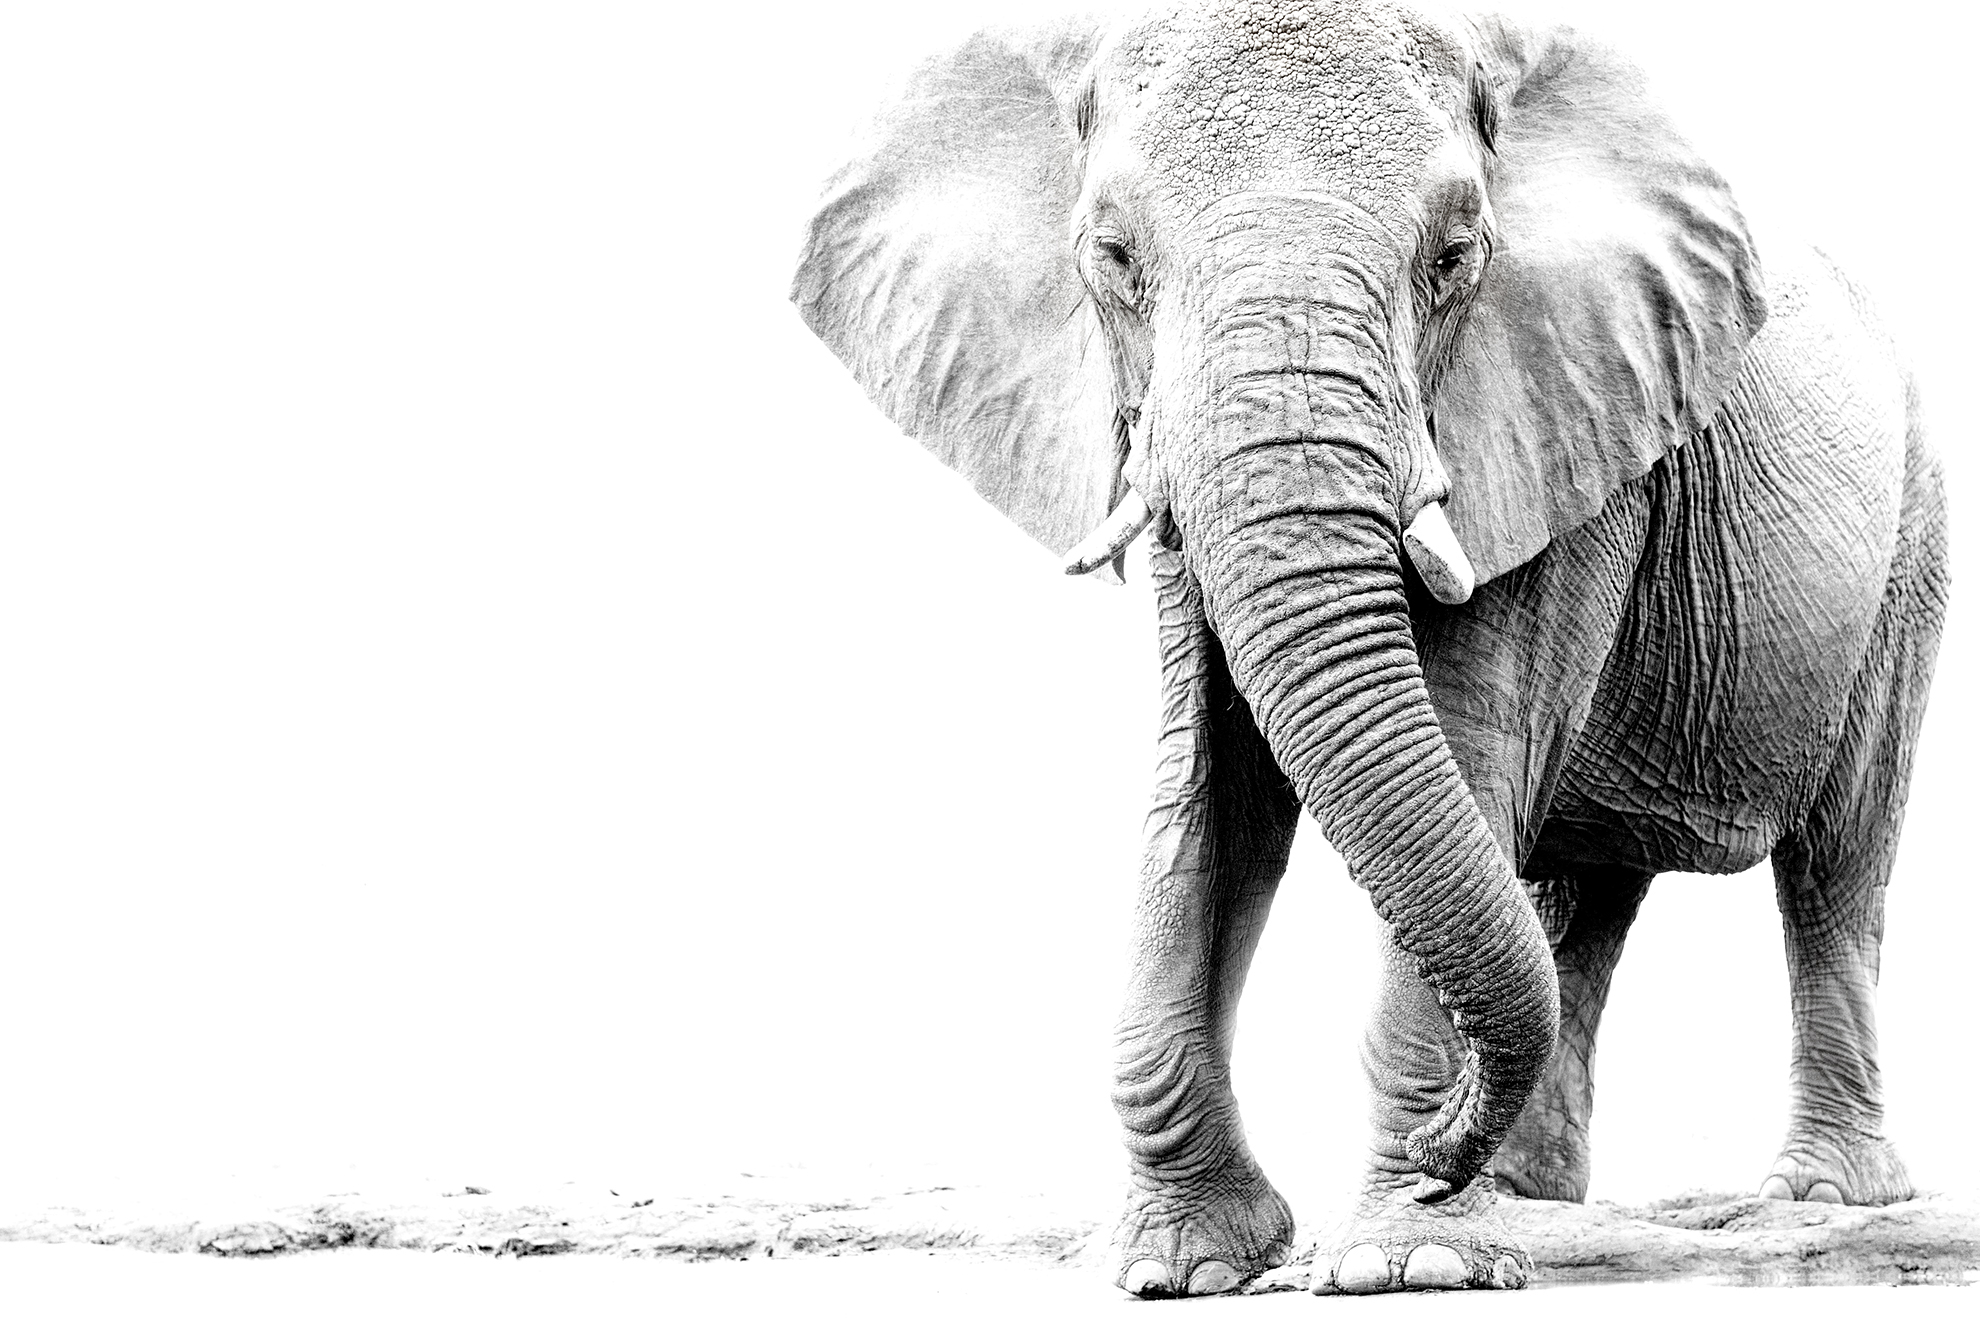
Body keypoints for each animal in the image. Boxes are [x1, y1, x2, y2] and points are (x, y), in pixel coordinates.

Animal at [790, 0, 1948, 1298]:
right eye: (1113, 259)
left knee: (1838, 864)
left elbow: (1474, 741)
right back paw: (1524, 1190)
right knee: (1586, 892)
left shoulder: (1559, 424)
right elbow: (1209, 789)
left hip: (1913, 547)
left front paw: (1408, 1256)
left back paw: (1815, 1192)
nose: (1443, 1155)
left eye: (1453, 258)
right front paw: (1181, 1266)